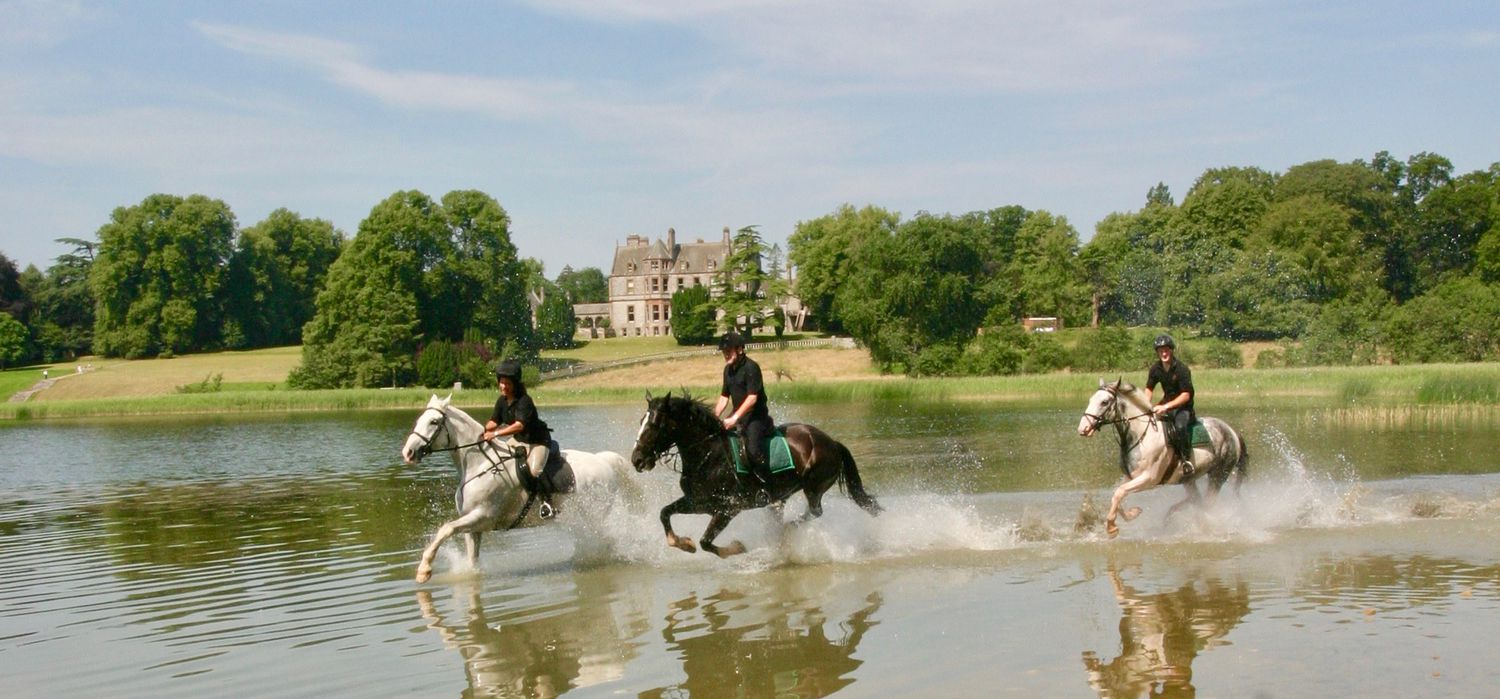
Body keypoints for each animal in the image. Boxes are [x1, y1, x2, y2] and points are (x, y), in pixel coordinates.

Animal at [399, 393, 633, 585]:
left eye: (434, 421)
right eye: (419, 420)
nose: (408, 453)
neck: (480, 465)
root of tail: (603, 460)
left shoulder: (483, 516)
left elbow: (445, 529)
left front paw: (424, 571)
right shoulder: (472, 526)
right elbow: (471, 558)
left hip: (595, 514)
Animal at [630, 393, 882, 558]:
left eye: (655, 424)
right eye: (641, 421)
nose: (637, 460)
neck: (709, 455)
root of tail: (833, 442)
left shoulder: (728, 508)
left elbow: (706, 542)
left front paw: (737, 548)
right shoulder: (698, 502)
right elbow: (665, 513)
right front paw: (682, 544)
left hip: (814, 486)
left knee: (815, 511)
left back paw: (786, 531)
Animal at [1074, 379, 1248, 537]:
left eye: (1104, 402)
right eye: (1091, 399)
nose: (1083, 428)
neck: (1140, 436)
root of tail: (1232, 431)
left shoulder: (1149, 479)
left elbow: (1119, 492)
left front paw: (1111, 527)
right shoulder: (1131, 476)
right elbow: (1117, 494)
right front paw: (1133, 513)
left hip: (1218, 475)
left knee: (1206, 504)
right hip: (1188, 479)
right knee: (1197, 500)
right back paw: (1171, 516)